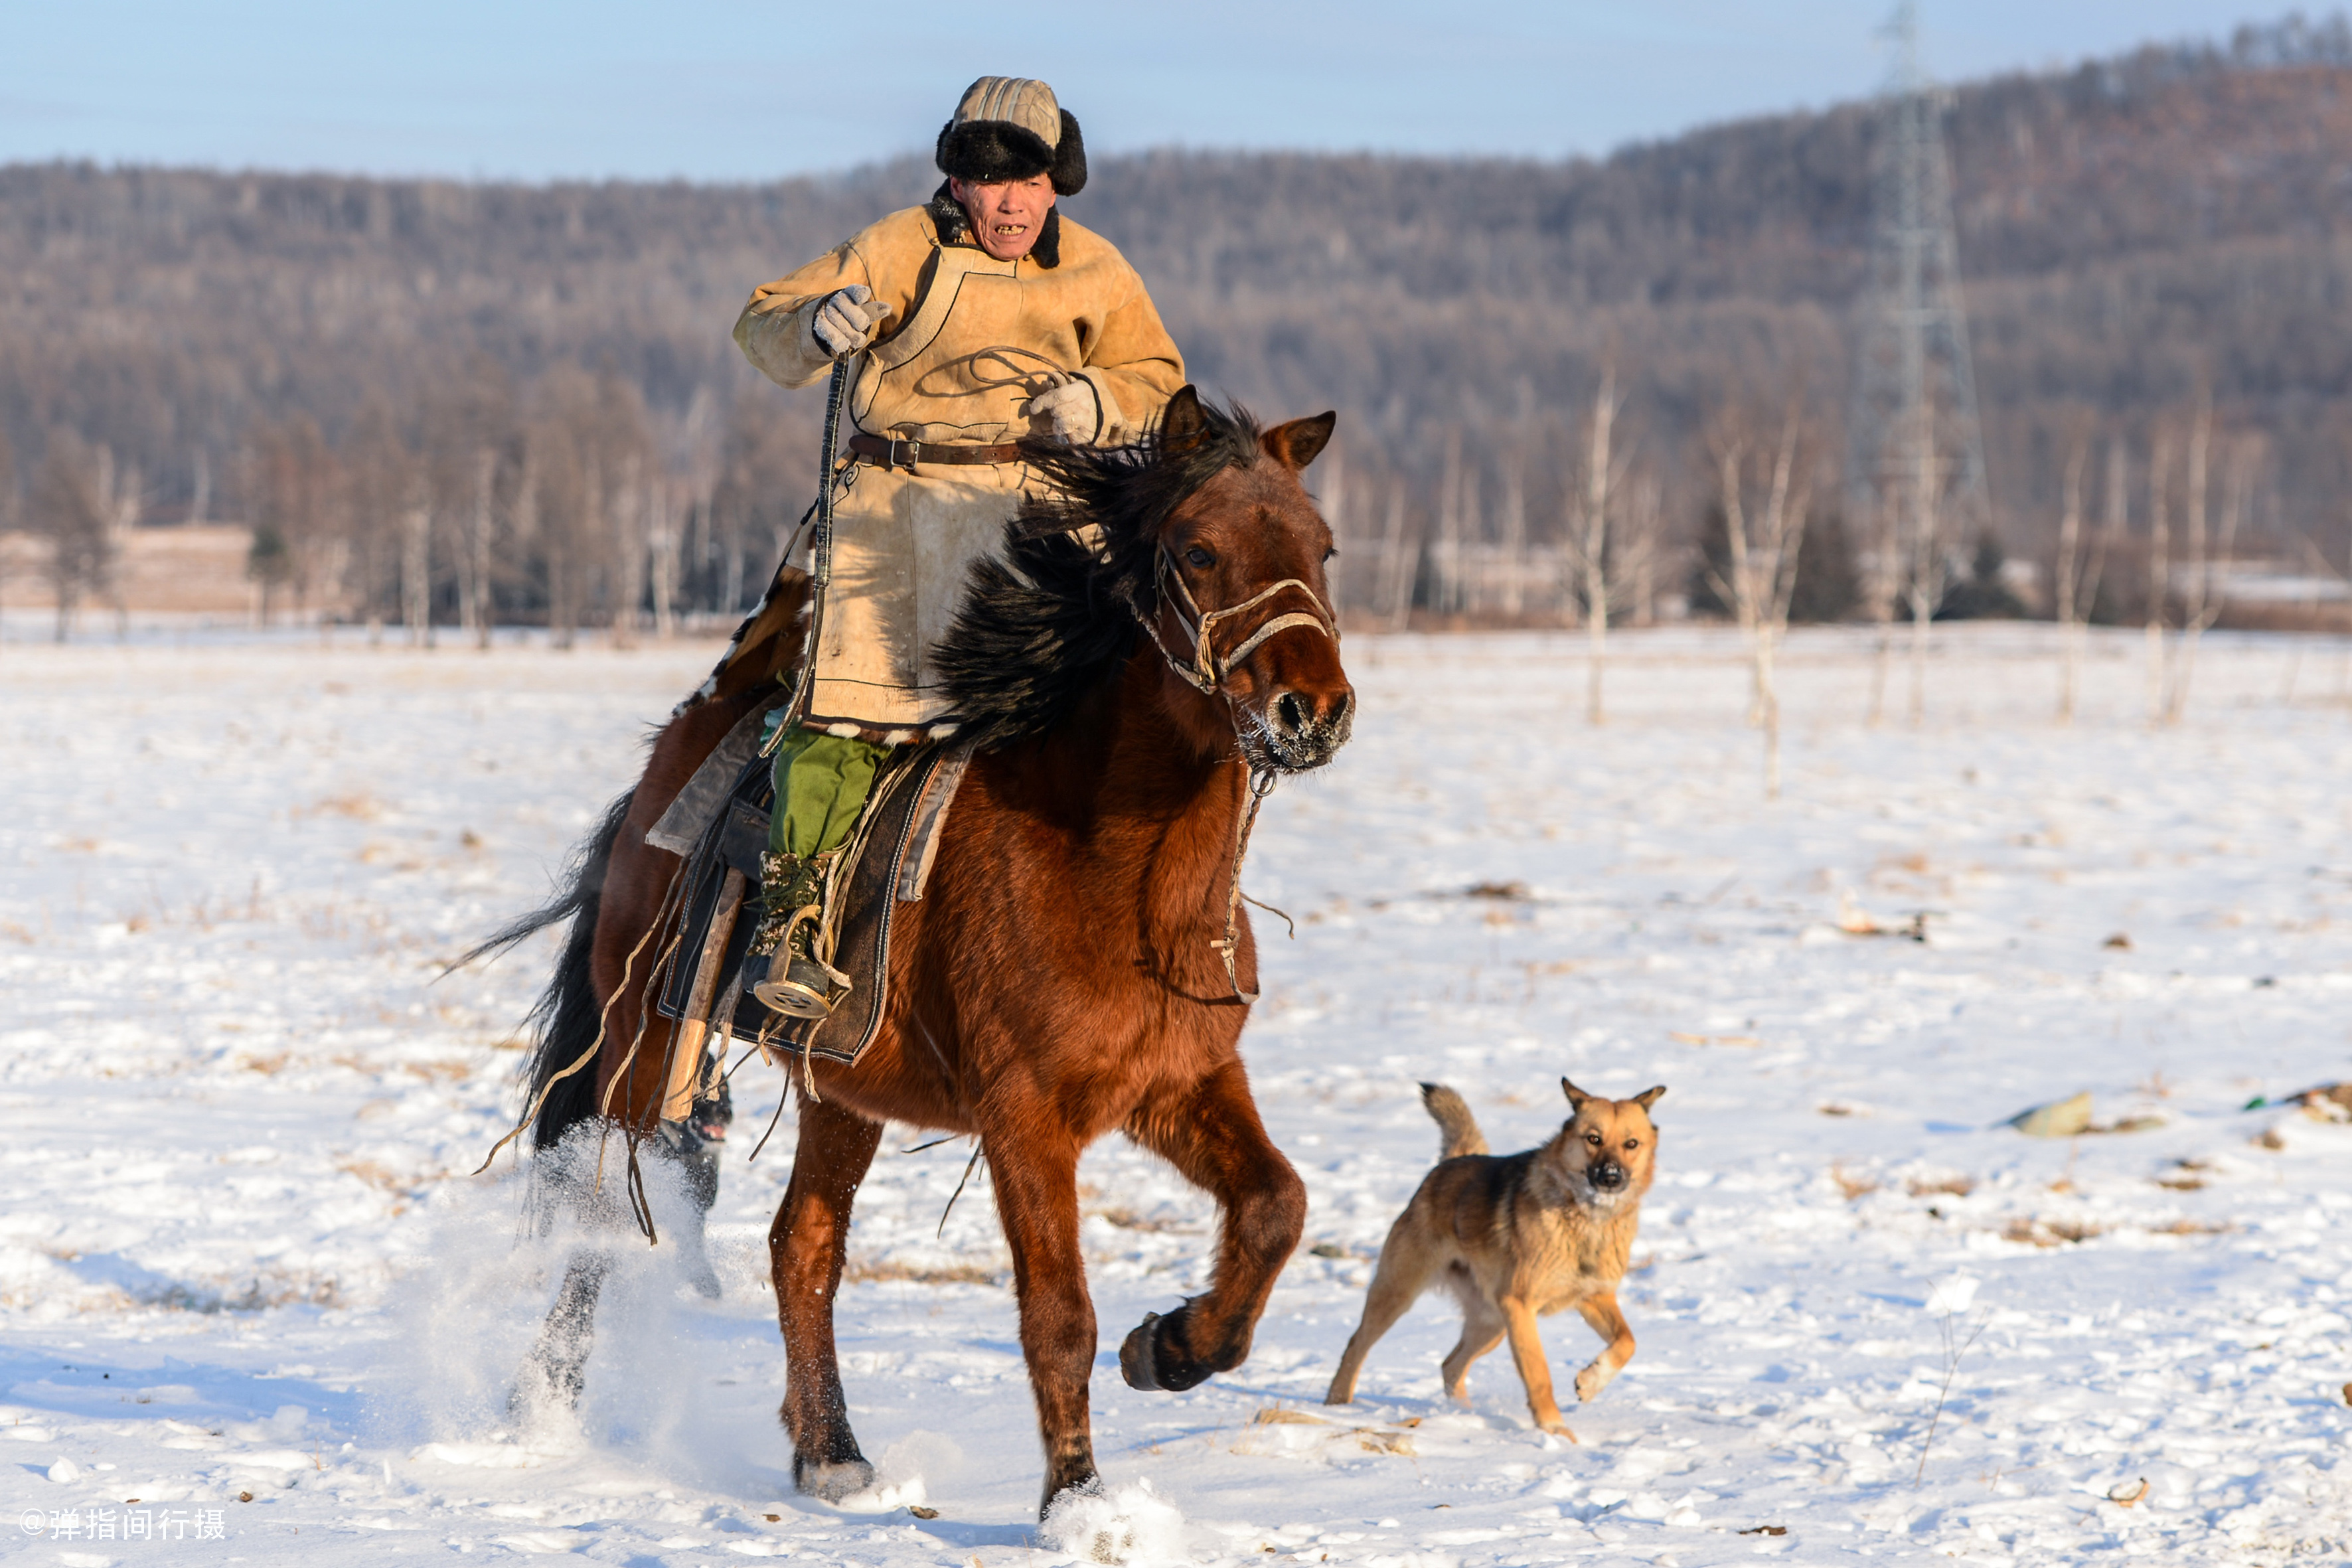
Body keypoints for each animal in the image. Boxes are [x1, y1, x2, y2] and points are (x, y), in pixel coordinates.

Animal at [491, 390, 1364, 1523]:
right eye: (1198, 549)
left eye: (1320, 546)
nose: (1313, 711)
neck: (1113, 873)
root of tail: (665, 772)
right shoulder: (1024, 1115)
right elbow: (1058, 1311)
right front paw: (1078, 1500)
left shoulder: (1180, 1082)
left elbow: (1274, 1206)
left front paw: (1172, 1348)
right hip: (643, 1045)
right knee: (599, 1216)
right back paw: (546, 1407)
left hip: (841, 1088)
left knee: (801, 1245)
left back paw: (829, 1450)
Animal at [1326, 1081, 1674, 1439]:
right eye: (1593, 1139)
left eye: (1631, 1144)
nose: (1611, 1177)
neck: (1585, 1219)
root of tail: (1450, 1163)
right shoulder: (1519, 1305)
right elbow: (1538, 1372)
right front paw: (1554, 1430)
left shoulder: (1595, 1297)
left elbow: (1627, 1342)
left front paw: (1591, 1382)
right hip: (1400, 1292)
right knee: (1357, 1345)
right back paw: (1337, 1405)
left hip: (1490, 1321)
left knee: (1451, 1365)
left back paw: (1462, 1415)